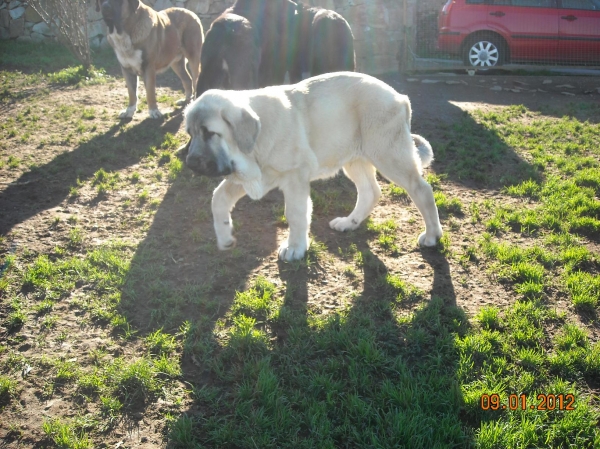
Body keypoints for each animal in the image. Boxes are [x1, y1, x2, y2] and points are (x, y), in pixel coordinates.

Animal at [185, 69, 442, 260]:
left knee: (422, 189)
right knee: (371, 191)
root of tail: (400, 97)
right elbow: (218, 199)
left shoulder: (294, 177)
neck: (255, 142)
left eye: (210, 133)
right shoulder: (248, 175)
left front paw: (295, 248)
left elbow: (295, 213)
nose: (190, 163)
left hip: (388, 155)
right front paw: (224, 236)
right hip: (355, 159)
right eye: (191, 133)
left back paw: (432, 235)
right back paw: (349, 223)